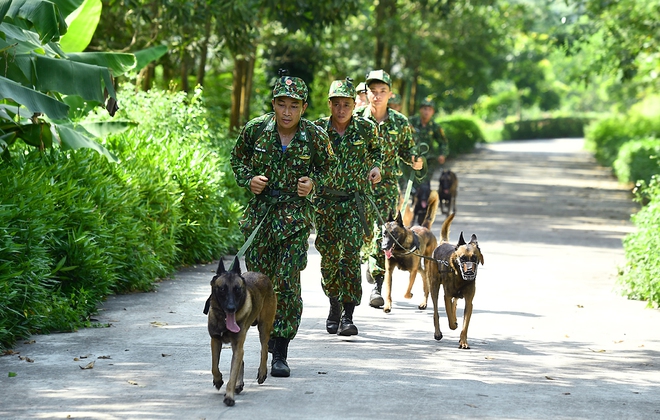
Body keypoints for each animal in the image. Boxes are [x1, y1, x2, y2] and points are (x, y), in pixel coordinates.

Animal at [204, 256, 276, 406]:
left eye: (237, 289)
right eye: (222, 289)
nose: (231, 308)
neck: (224, 320)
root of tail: (263, 275)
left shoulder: (237, 345)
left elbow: (232, 374)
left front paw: (229, 396)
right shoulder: (215, 341)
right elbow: (214, 366)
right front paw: (218, 380)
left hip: (264, 328)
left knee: (264, 348)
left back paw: (262, 372)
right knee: (241, 360)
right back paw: (239, 384)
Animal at [426, 215, 482, 350]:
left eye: (474, 258)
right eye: (462, 258)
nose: (469, 272)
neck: (460, 278)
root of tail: (444, 243)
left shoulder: (469, 302)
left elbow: (465, 325)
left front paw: (463, 341)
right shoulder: (446, 296)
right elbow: (450, 319)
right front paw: (453, 324)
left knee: (454, 303)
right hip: (434, 287)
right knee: (436, 311)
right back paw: (438, 332)